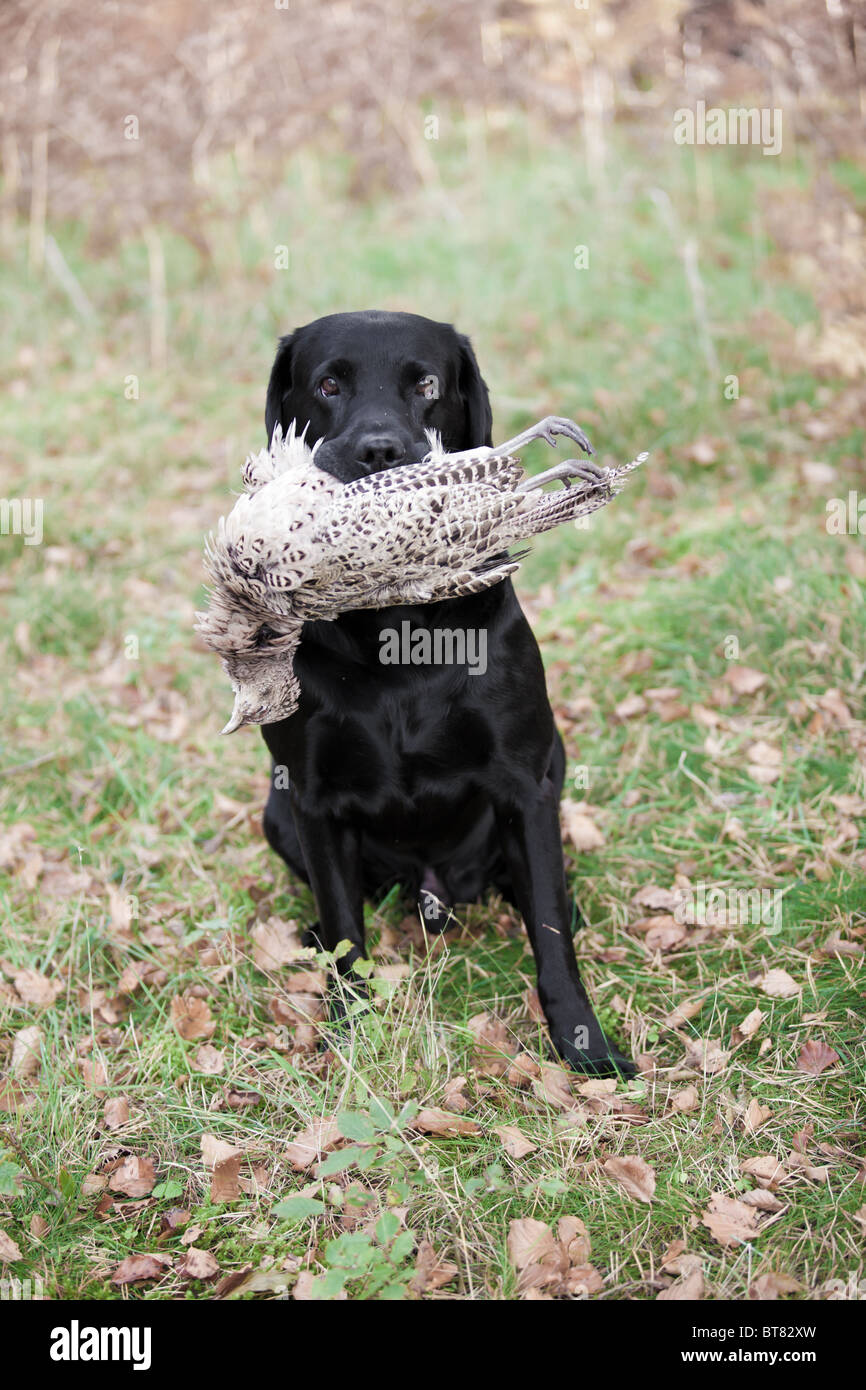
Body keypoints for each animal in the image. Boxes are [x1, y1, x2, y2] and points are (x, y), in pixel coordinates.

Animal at [257, 312, 631, 1073]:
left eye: (427, 384)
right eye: (328, 384)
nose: (380, 452)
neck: (395, 628)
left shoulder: (525, 782)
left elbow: (552, 938)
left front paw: (583, 1044)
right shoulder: (310, 796)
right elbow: (348, 934)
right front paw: (351, 1041)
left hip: (554, 765)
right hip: (275, 813)